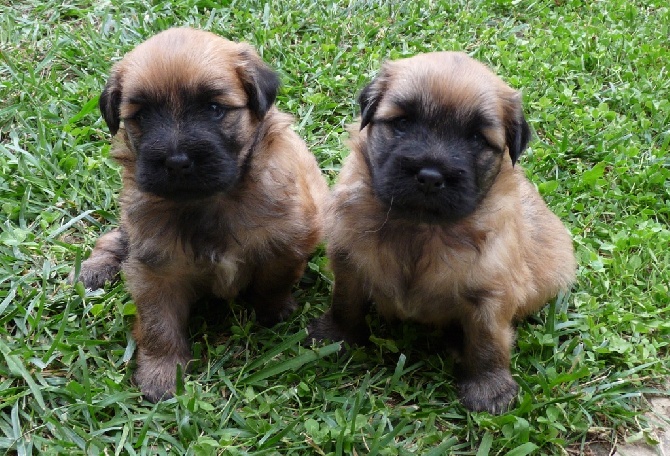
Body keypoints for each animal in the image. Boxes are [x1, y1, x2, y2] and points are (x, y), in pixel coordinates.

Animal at [75, 26, 330, 400]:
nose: (176, 161)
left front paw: (273, 310)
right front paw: (162, 373)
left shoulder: (288, 240)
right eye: (142, 116)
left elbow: (273, 280)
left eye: (213, 108)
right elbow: (158, 325)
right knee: (114, 236)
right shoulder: (155, 268)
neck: (209, 203)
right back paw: (96, 267)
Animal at [310, 52, 576, 414]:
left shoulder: (490, 293)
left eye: (476, 139)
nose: (430, 176)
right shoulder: (350, 262)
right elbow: (344, 304)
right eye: (403, 123)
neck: (420, 231)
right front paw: (335, 336)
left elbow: (488, 342)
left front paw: (489, 388)